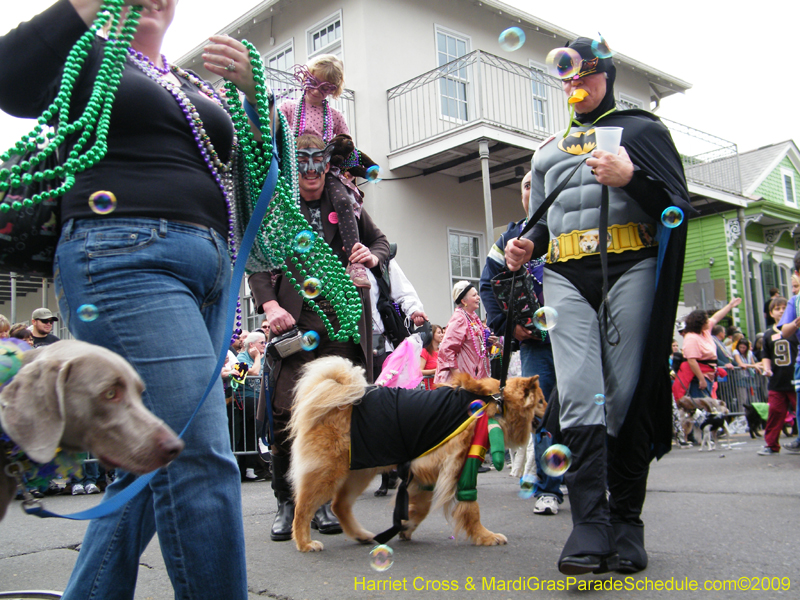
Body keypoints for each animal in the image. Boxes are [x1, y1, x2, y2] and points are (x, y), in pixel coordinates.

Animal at [286, 356, 544, 552]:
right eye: (541, 401)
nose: (550, 409)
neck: (493, 402)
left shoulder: (425, 473)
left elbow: (420, 507)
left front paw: (406, 526)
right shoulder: (459, 467)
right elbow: (470, 508)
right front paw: (485, 536)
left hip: (360, 472)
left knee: (339, 505)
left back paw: (361, 535)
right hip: (328, 474)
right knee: (303, 509)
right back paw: (304, 543)